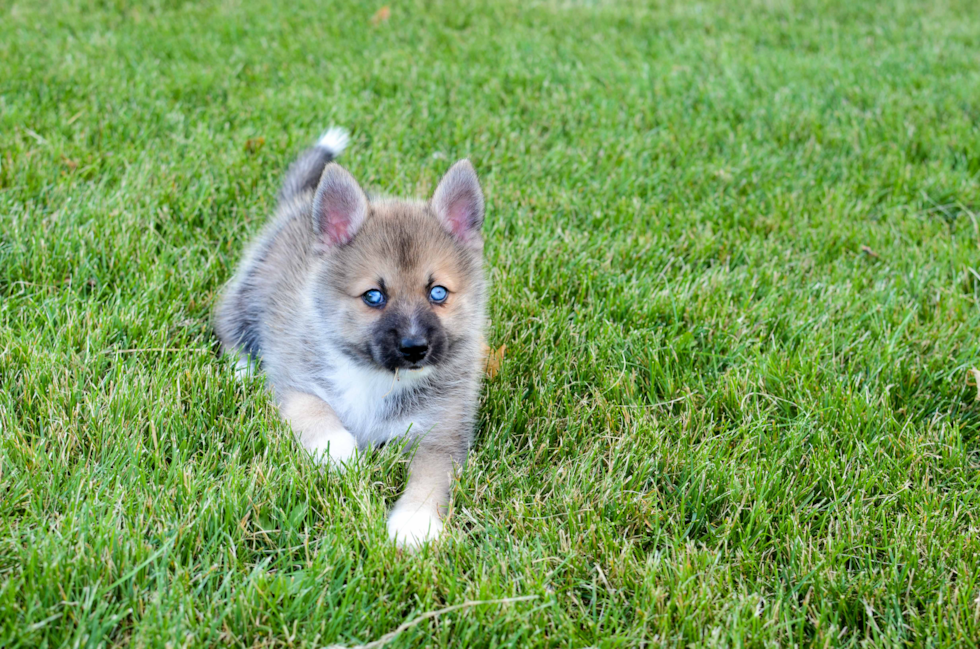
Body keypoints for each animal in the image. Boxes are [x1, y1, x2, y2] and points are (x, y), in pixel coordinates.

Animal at [216, 129, 488, 548]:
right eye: (373, 296)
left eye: (438, 292)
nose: (415, 348)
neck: (377, 376)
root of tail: (300, 205)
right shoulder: (294, 382)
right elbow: (315, 412)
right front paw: (340, 453)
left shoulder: (441, 433)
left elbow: (430, 477)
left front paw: (415, 523)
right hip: (248, 293)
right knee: (229, 327)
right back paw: (242, 370)